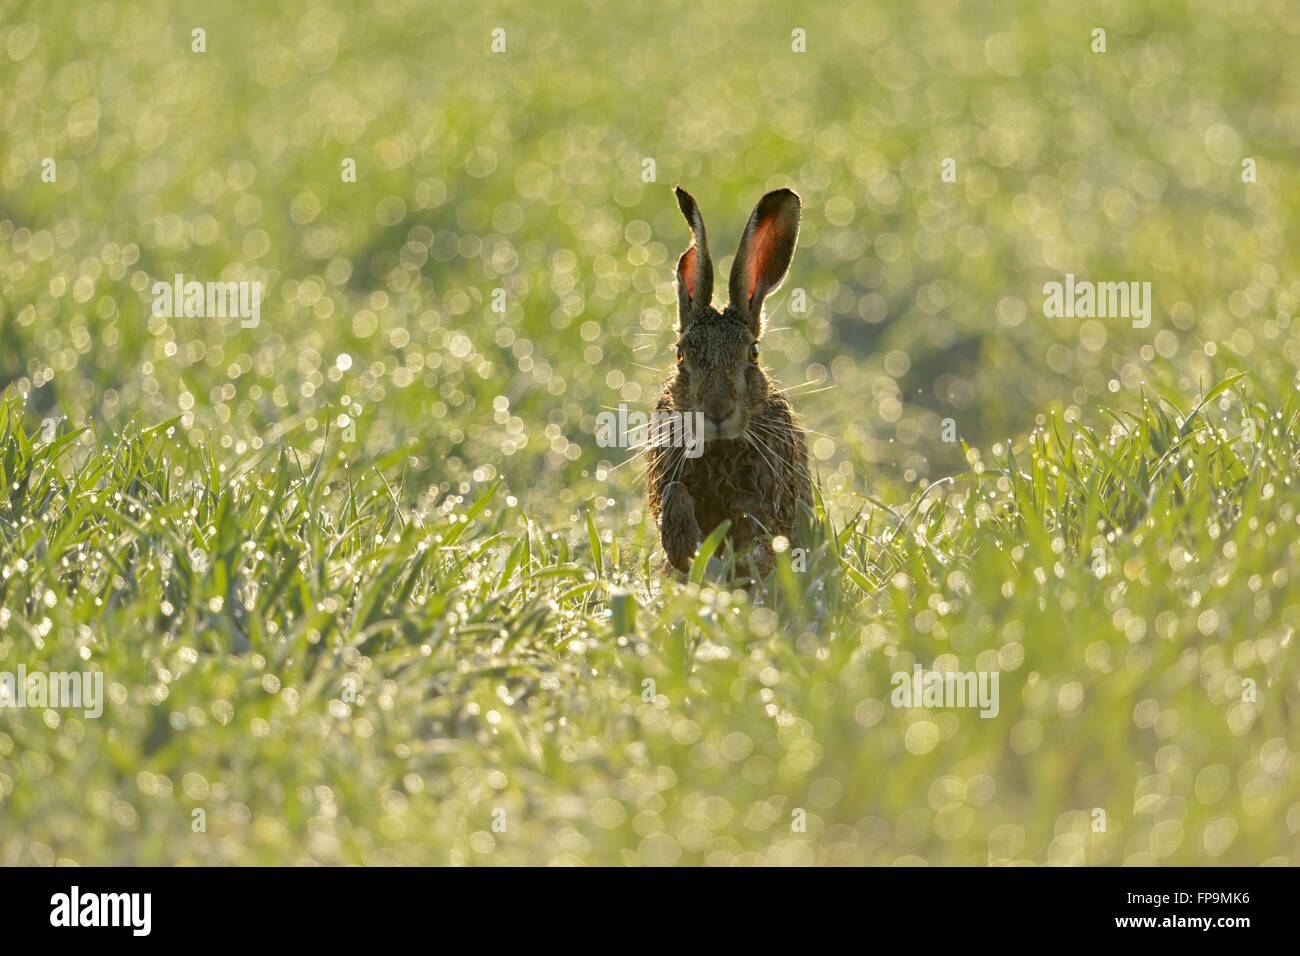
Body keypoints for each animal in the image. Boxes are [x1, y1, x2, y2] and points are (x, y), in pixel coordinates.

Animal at [646, 185, 812, 579]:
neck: (720, 447)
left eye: (753, 353)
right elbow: (673, 495)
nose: (717, 410)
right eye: (680, 354)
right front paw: (685, 551)